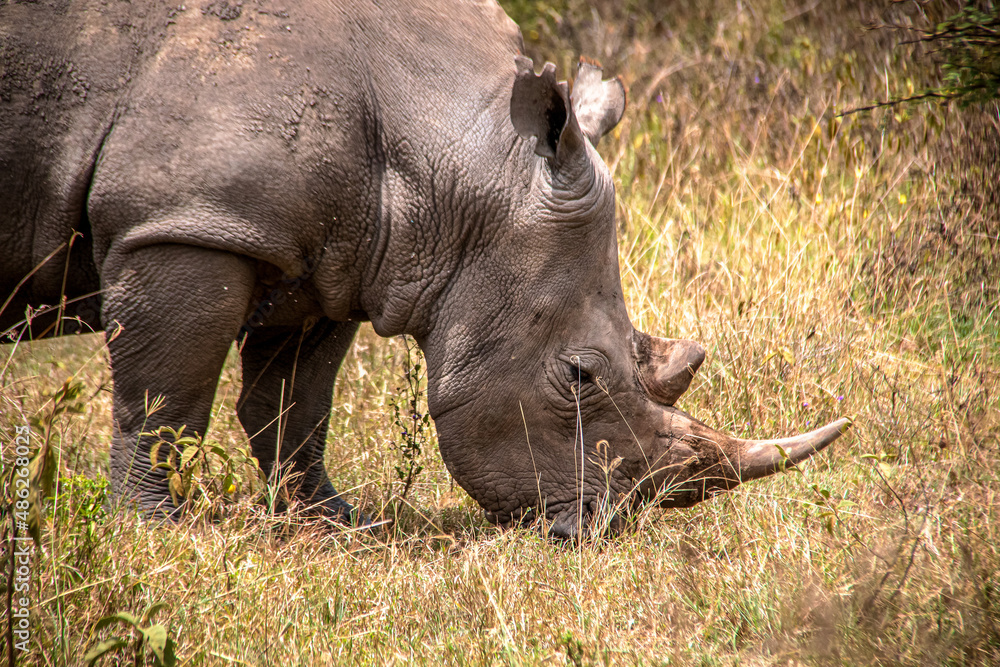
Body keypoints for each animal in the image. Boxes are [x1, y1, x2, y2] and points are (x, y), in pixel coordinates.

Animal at [0, 0, 849, 537]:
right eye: (579, 374)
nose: (601, 528)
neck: (454, 149)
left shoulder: (330, 258)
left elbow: (295, 404)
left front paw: (334, 525)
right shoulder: (187, 222)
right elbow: (161, 400)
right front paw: (153, 534)